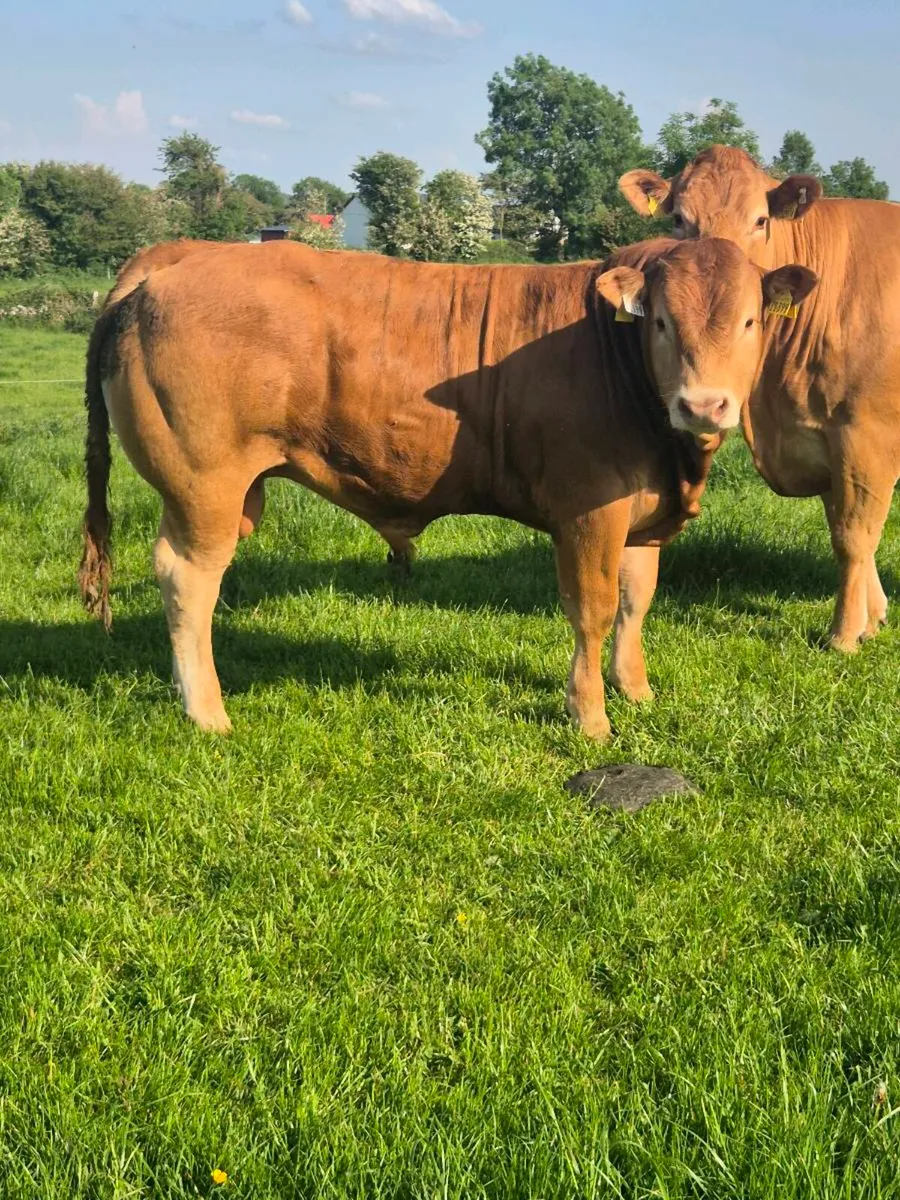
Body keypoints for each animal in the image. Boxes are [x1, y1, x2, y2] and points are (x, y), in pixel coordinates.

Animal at [78, 238, 816, 739]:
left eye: (751, 321)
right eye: (663, 322)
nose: (704, 405)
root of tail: (182, 253)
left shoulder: (639, 514)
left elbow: (636, 602)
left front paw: (635, 691)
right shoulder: (588, 509)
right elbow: (594, 609)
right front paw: (591, 717)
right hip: (205, 485)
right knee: (187, 579)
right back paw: (207, 712)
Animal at [620, 145, 900, 652]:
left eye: (761, 220)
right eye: (679, 220)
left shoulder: (867, 435)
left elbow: (854, 535)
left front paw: (845, 633)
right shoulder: (822, 439)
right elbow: (844, 526)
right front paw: (873, 617)